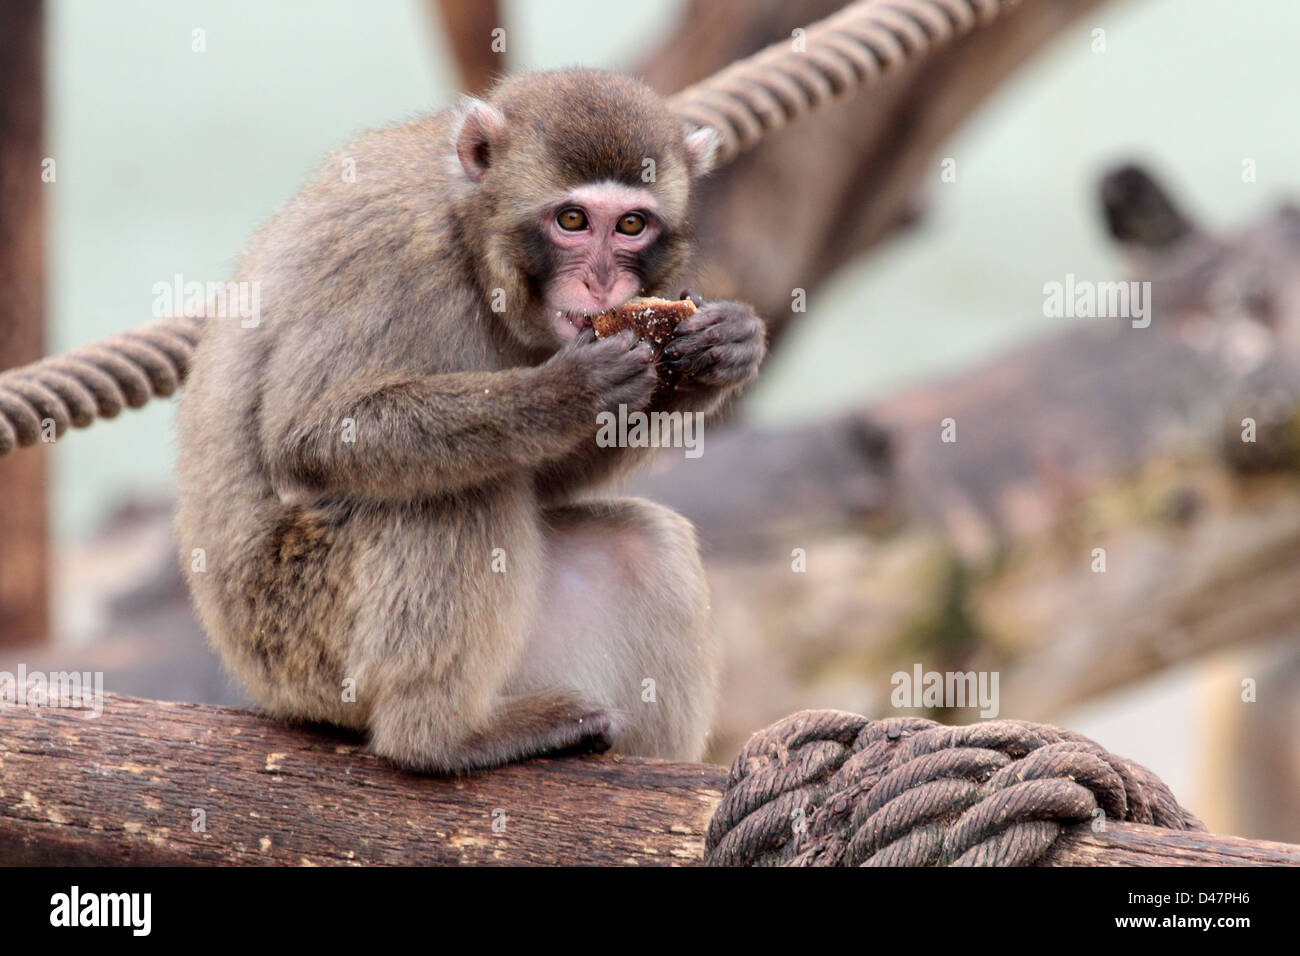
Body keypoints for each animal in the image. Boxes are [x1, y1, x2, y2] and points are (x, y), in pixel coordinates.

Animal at [171, 67, 759, 775]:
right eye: (571, 219)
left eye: (632, 225)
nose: (600, 284)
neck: (472, 245)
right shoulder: (390, 251)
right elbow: (311, 434)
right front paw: (563, 394)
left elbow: (547, 483)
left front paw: (723, 352)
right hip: (296, 635)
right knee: (458, 492)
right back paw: (443, 737)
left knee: (642, 541)